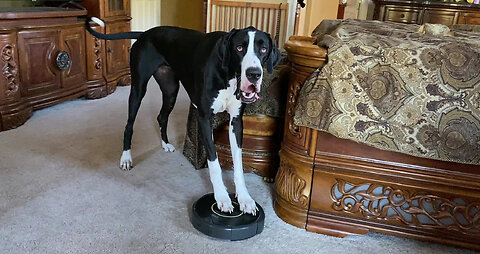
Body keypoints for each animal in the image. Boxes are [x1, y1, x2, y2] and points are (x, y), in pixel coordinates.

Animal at [86, 17, 282, 214]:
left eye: (263, 49)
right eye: (239, 48)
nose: (254, 74)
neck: (229, 74)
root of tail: (144, 34)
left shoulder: (236, 122)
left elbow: (239, 164)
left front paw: (245, 198)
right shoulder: (204, 119)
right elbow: (214, 163)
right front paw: (222, 197)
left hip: (170, 90)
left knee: (161, 116)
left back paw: (165, 144)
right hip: (138, 89)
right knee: (129, 125)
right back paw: (126, 158)